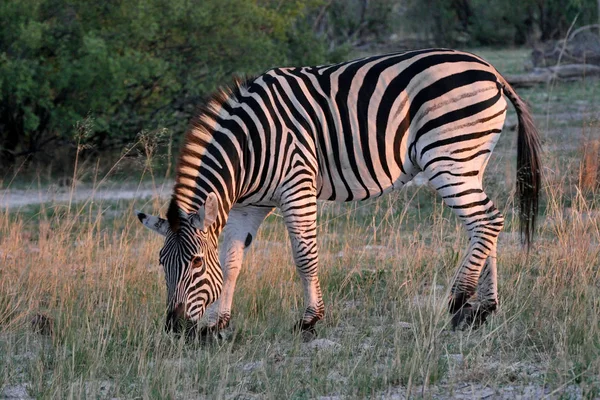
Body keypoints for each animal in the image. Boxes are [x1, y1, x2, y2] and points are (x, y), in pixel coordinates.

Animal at [136, 47, 540, 334]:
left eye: (194, 262)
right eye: (161, 262)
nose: (174, 327)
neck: (250, 149)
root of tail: (489, 68)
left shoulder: (296, 185)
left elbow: (304, 256)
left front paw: (310, 319)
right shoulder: (248, 206)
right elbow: (232, 261)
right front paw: (218, 323)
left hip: (448, 157)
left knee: (487, 221)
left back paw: (458, 301)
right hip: (470, 160)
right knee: (483, 226)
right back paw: (482, 309)